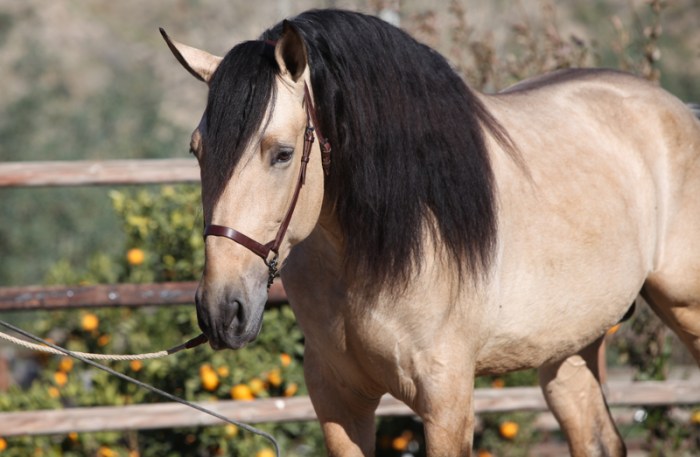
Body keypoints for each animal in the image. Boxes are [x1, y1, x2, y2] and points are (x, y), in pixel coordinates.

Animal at [160, 8, 700, 456]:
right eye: (197, 150)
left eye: (283, 153)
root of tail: (678, 109)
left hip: (685, 311)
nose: (221, 311)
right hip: (569, 349)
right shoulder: (338, 401)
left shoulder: (446, 403)